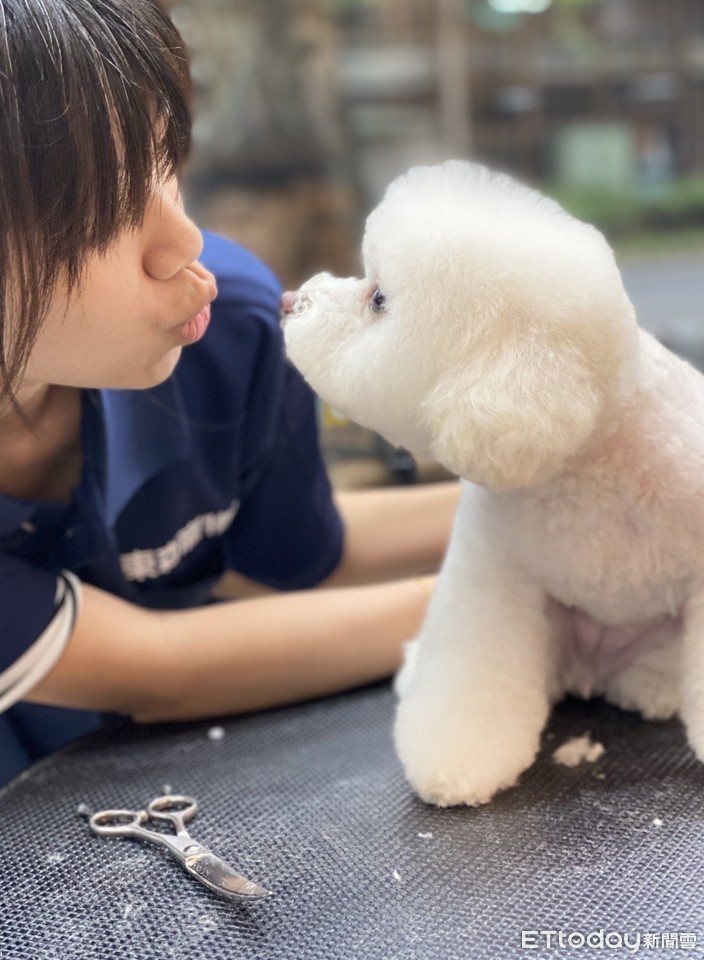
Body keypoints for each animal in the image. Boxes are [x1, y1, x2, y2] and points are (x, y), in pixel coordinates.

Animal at [280, 161, 704, 808]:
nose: (288, 301)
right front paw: (458, 762)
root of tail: (589, 670)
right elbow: (471, 668)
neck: (589, 457)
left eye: (378, 298)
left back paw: (651, 688)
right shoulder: (491, 573)